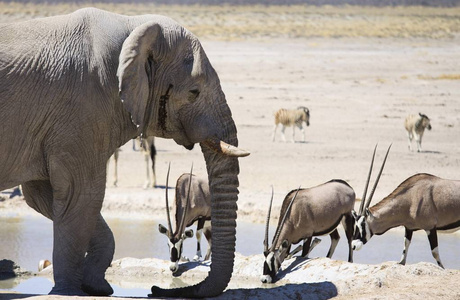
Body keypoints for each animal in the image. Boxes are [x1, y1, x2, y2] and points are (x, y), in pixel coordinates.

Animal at [0, 7, 248, 298]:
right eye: (193, 92)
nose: (154, 289)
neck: (132, 26)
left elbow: (44, 196)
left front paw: (96, 286)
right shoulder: (81, 110)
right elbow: (81, 196)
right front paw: (69, 291)